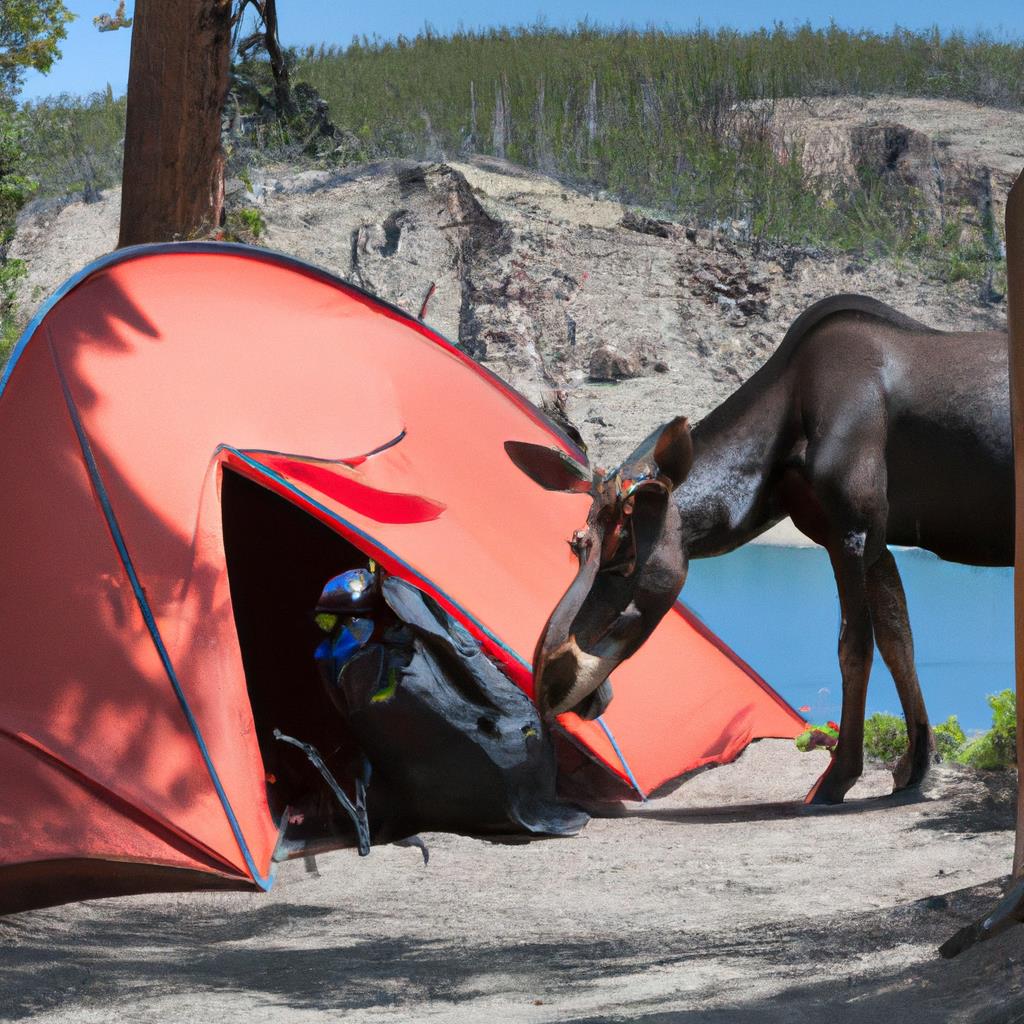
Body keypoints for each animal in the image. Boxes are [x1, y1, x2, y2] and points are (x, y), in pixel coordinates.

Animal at [507, 292, 1011, 802]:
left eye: (626, 556)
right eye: (577, 544)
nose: (549, 685)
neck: (768, 479)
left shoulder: (852, 529)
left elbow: (854, 646)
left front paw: (837, 777)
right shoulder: (874, 538)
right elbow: (898, 639)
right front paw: (915, 765)